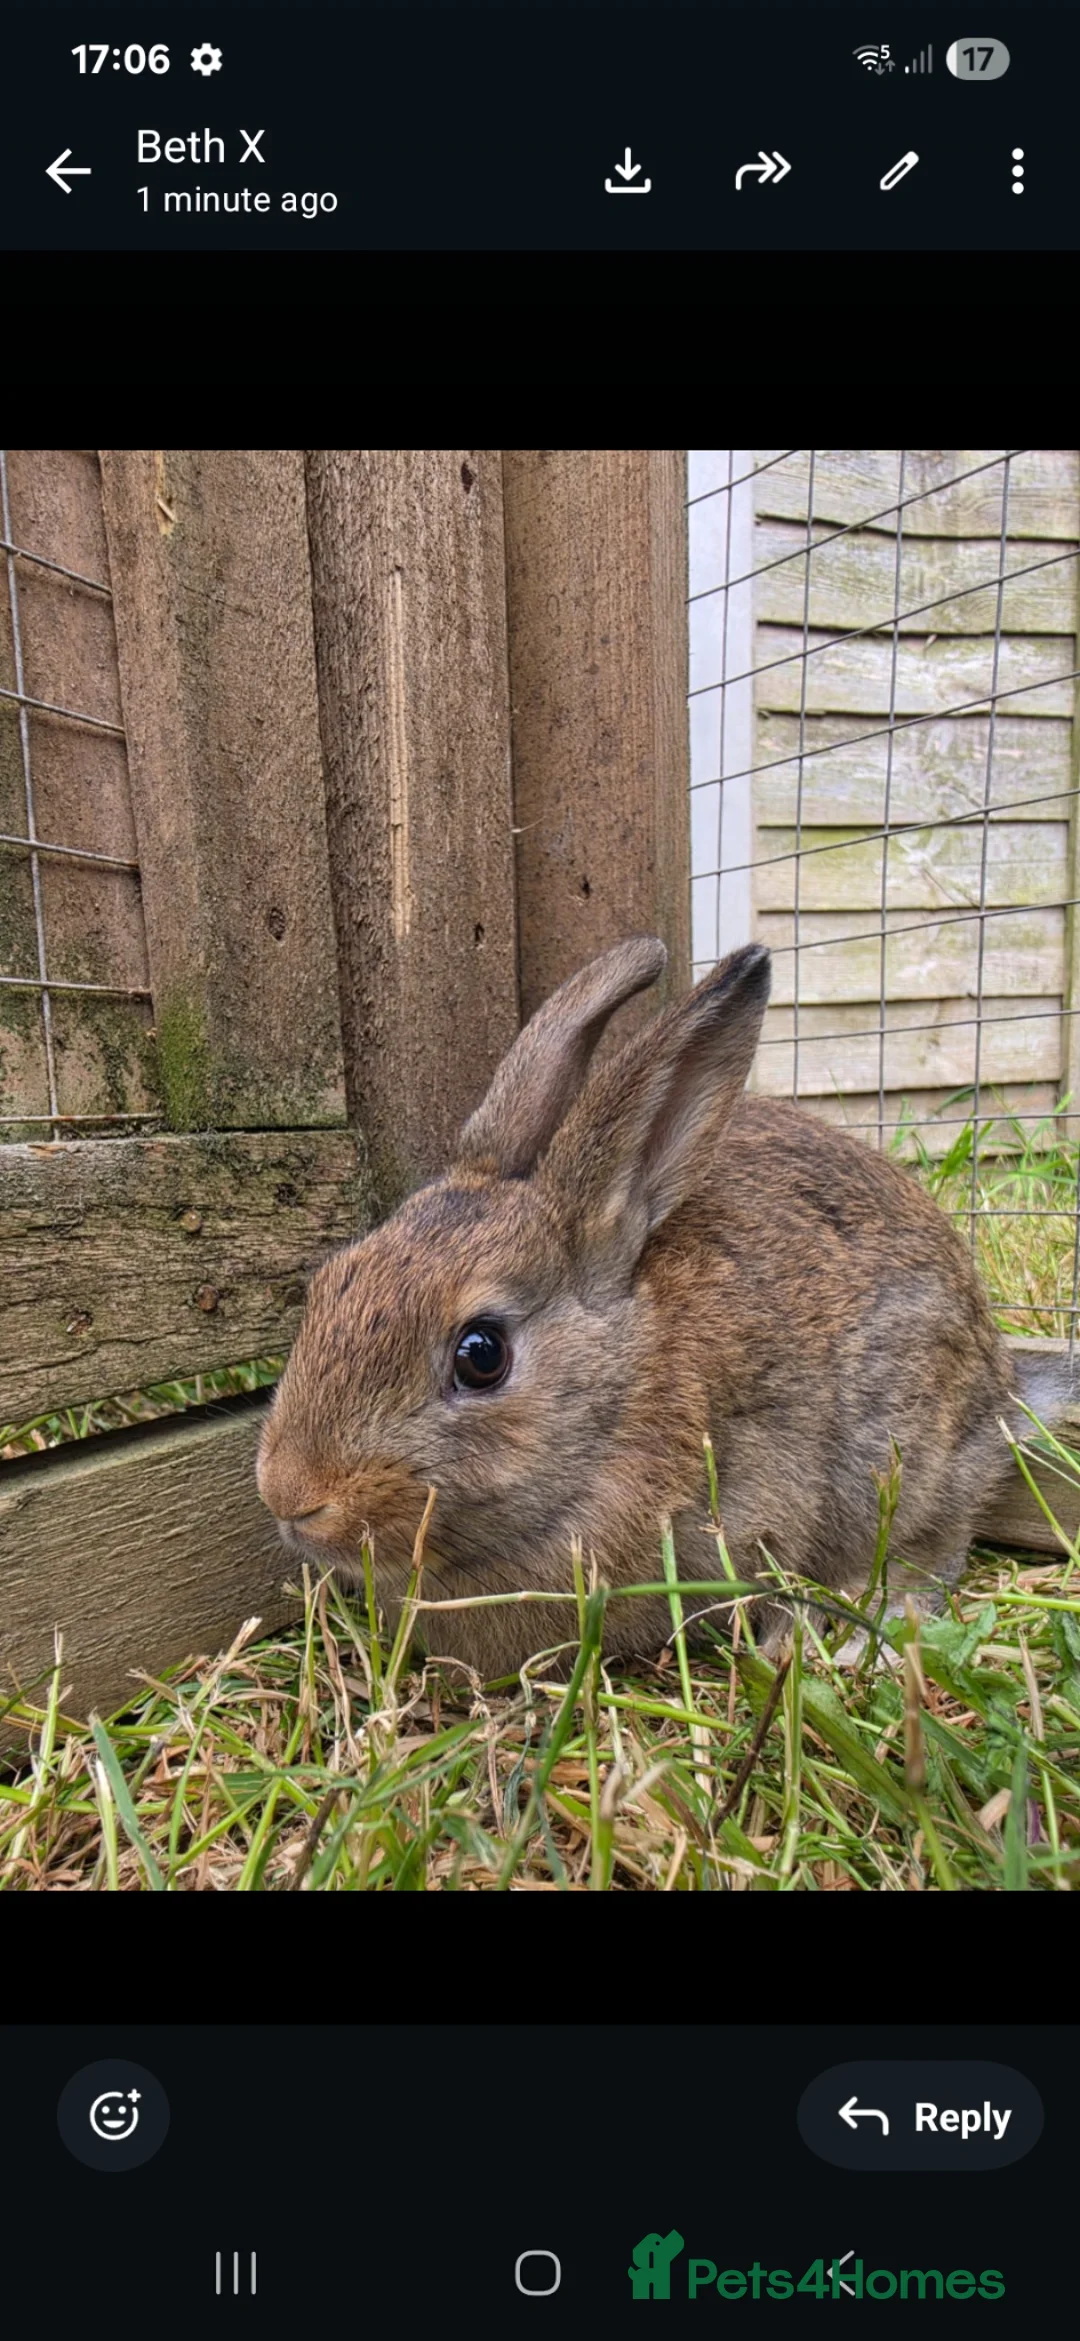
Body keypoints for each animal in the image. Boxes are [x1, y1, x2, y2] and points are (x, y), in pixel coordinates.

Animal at [256, 936, 1040, 1680]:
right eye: (329, 1281)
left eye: (481, 1354)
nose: (290, 1495)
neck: (624, 1399)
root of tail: (1005, 1385)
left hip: (905, 1453)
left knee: (929, 1550)